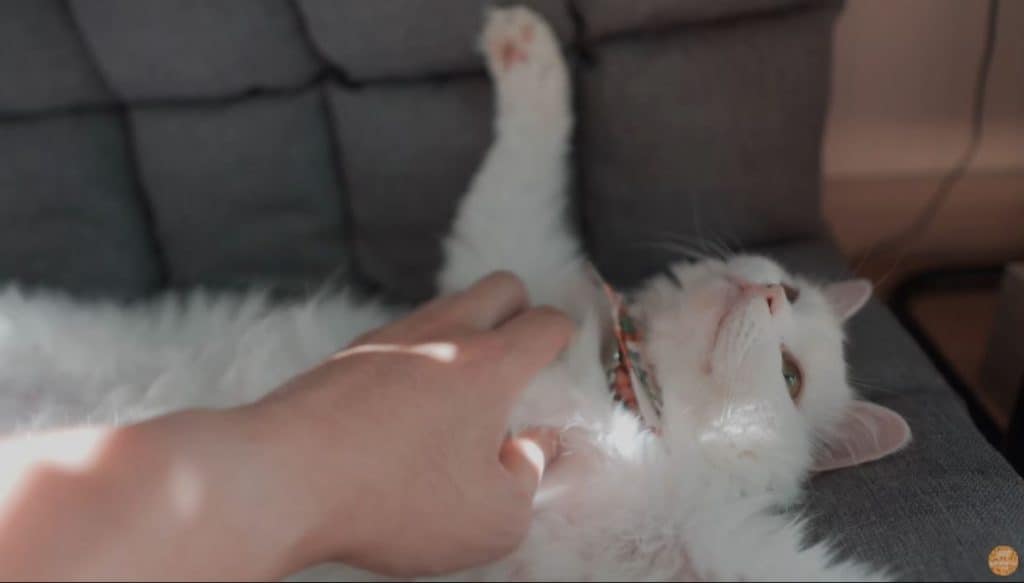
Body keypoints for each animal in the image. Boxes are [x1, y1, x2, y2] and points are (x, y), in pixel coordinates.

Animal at [0, 5, 913, 581]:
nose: (767, 295)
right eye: (787, 288)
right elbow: (530, 149)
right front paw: (526, 49)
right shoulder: (504, 257)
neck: (621, 395)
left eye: (791, 377)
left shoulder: (697, 540)